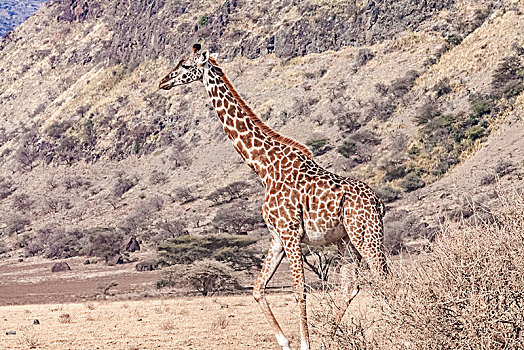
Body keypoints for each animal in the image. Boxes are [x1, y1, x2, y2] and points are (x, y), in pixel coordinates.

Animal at [158, 45, 386, 348]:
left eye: (184, 66)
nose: (163, 82)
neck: (263, 166)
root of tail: (379, 203)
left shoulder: (291, 233)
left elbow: (299, 291)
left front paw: (304, 344)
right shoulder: (277, 236)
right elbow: (257, 289)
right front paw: (286, 341)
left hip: (366, 235)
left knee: (385, 278)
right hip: (346, 241)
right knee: (351, 286)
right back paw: (332, 337)